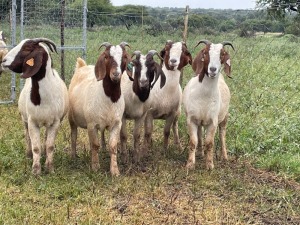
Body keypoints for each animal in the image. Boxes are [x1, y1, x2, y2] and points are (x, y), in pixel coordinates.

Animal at [0, 38, 68, 176]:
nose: (3, 60)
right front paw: (36, 170)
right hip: (24, 119)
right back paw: (28, 155)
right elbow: (35, 147)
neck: (43, 99)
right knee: (27, 138)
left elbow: (50, 145)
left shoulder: (55, 122)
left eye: (27, 48)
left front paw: (49, 168)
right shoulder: (32, 122)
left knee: (46, 138)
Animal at [69, 42, 132, 176]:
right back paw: (73, 156)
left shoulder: (116, 124)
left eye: (124, 57)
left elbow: (113, 146)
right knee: (73, 136)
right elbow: (95, 144)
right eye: (106, 56)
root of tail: (82, 66)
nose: (115, 74)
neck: (109, 98)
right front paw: (95, 167)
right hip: (71, 118)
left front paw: (115, 171)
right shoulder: (91, 124)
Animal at [183, 39, 234, 170]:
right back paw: (200, 153)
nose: (213, 69)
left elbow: (210, 143)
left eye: (222, 54)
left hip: (225, 116)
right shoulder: (191, 119)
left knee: (222, 134)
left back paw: (224, 156)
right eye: (205, 52)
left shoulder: (213, 121)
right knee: (200, 134)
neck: (204, 95)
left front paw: (210, 165)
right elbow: (193, 141)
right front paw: (190, 164)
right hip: (200, 120)